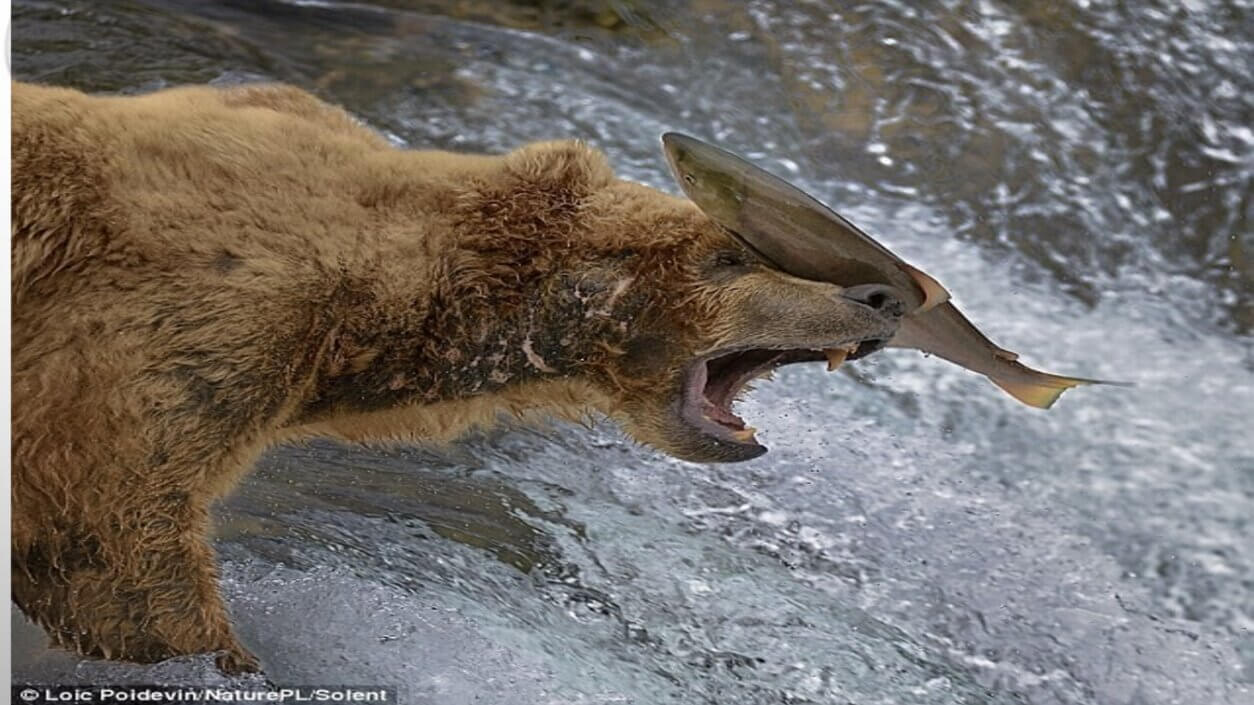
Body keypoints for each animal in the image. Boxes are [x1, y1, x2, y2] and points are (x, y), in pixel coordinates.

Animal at [11, 81, 905, 673]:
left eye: (764, 250)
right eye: (731, 256)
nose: (882, 293)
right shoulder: (180, 328)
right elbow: (112, 543)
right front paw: (232, 658)